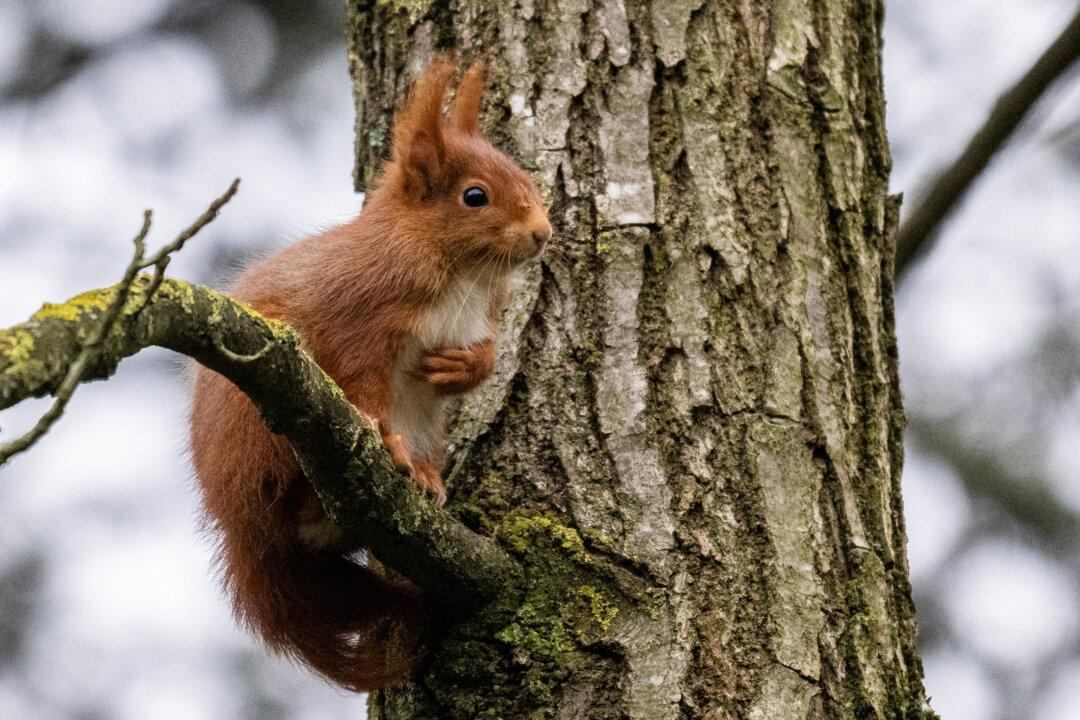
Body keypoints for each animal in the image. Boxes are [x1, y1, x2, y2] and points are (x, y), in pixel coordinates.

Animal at [188, 58, 552, 691]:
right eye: (474, 196)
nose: (544, 233)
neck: (462, 271)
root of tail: (242, 537)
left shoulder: (486, 312)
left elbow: (485, 356)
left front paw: (464, 367)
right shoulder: (361, 318)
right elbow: (362, 385)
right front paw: (388, 443)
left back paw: (427, 478)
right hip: (258, 420)